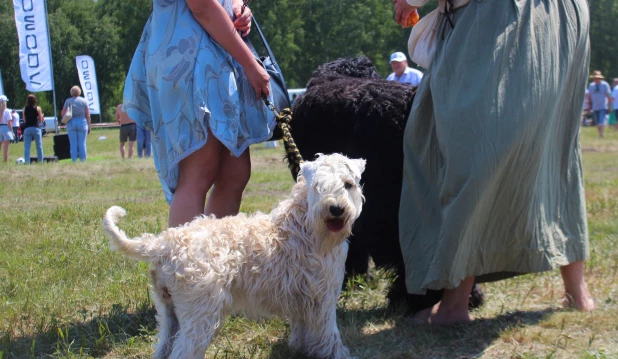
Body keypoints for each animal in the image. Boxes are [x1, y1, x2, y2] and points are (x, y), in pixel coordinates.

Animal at [100, 154, 360, 359]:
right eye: (318, 186)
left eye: (348, 184)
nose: (336, 209)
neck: (306, 225)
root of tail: (163, 243)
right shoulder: (323, 297)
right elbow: (329, 334)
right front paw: (340, 355)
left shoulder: (304, 299)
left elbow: (304, 332)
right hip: (200, 316)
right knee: (185, 351)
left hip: (169, 312)